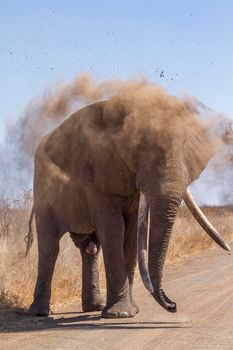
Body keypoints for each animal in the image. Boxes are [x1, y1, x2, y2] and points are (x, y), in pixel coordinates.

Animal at [26, 85, 230, 318]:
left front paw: (130, 312)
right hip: (42, 188)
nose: (173, 305)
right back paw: (40, 312)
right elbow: (114, 228)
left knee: (91, 249)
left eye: (184, 147)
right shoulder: (99, 171)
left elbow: (131, 231)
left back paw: (94, 307)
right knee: (50, 245)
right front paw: (121, 314)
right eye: (136, 150)